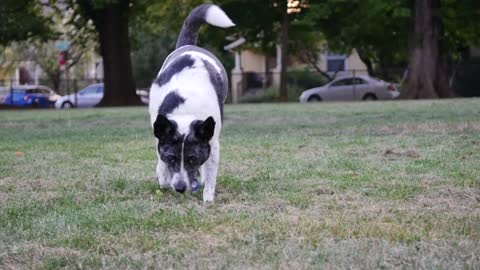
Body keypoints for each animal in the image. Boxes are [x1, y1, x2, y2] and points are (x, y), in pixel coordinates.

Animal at [148, 4, 234, 202]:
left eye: (192, 159)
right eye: (171, 158)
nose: (180, 188)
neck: (185, 109)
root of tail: (189, 46)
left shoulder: (213, 142)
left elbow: (210, 173)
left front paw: (208, 198)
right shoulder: (159, 133)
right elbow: (161, 163)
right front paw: (162, 176)